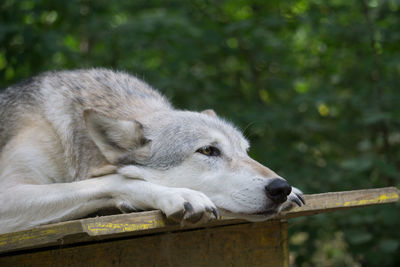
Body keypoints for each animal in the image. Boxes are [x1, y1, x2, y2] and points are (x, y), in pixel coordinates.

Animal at [0, 68, 304, 234]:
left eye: (246, 152)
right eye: (208, 150)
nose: (281, 187)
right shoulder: (8, 193)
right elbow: (116, 179)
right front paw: (178, 195)